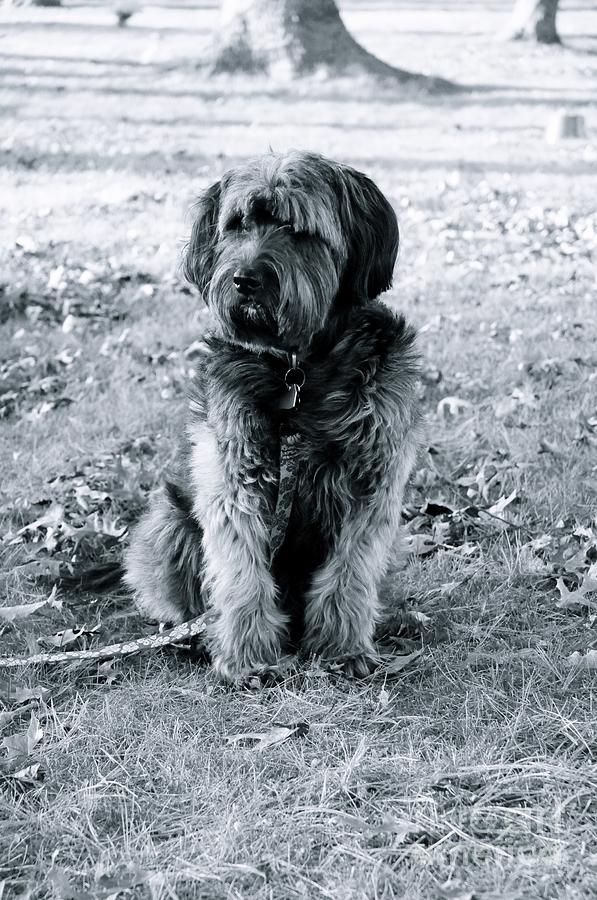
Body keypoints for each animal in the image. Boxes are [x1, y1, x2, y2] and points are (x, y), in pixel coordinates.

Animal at [124, 151, 424, 684]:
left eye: (296, 228)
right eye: (238, 224)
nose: (244, 279)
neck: (298, 368)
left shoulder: (372, 482)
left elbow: (350, 570)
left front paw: (342, 648)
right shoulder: (236, 476)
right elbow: (242, 570)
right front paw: (248, 659)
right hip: (169, 521)